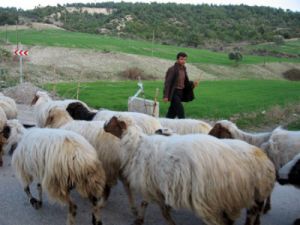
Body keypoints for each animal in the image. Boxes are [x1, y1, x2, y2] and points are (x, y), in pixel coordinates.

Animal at [103, 115, 276, 225]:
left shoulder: (150, 183)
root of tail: (263, 162)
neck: (136, 144)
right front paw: (140, 218)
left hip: (218, 199)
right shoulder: (154, 184)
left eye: (114, 121)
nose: (104, 125)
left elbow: (161, 212)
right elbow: (149, 204)